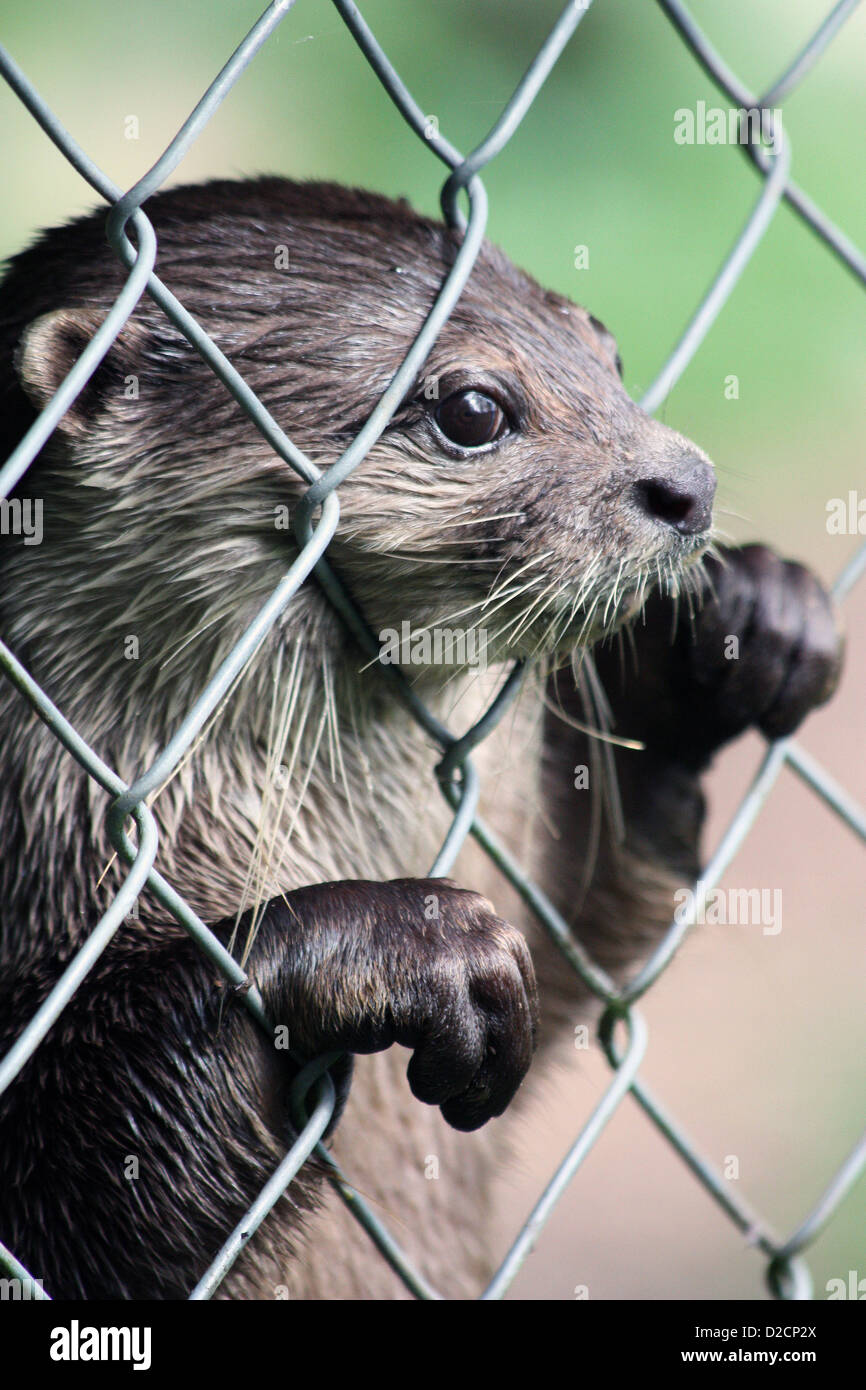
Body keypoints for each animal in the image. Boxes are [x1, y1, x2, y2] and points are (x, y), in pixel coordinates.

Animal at [0, 179, 845, 1295]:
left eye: (609, 352)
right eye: (474, 410)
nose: (688, 487)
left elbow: (574, 933)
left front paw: (750, 619)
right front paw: (401, 944)